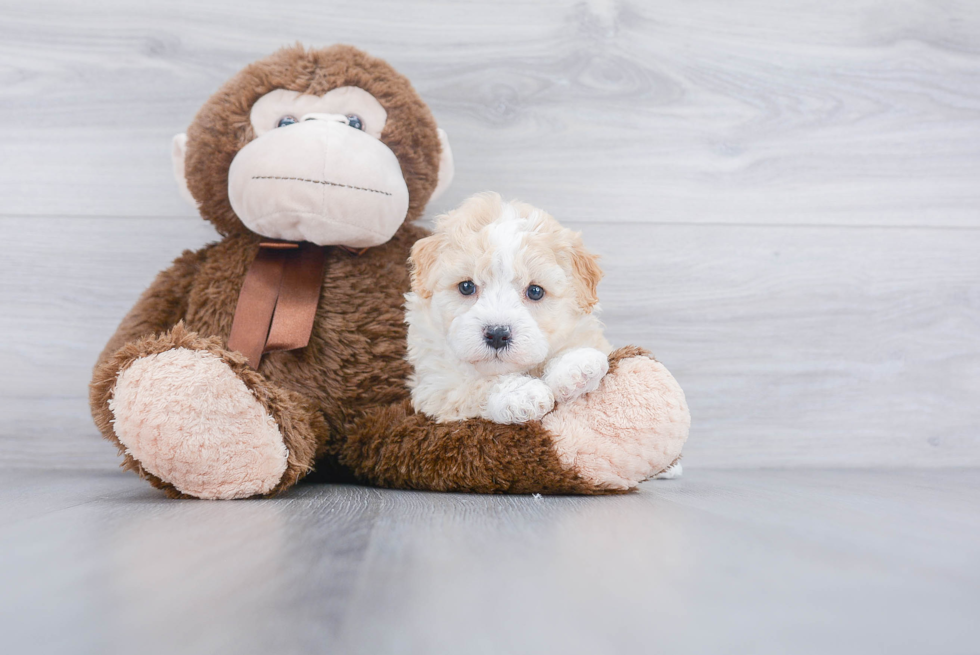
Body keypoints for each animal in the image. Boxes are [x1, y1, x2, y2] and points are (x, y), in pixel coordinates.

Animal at [406, 192, 612, 422]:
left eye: (535, 291)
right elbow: (477, 384)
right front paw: (522, 394)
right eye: (466, 287)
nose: (497, 334)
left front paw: (576, 365)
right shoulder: (436, 386)